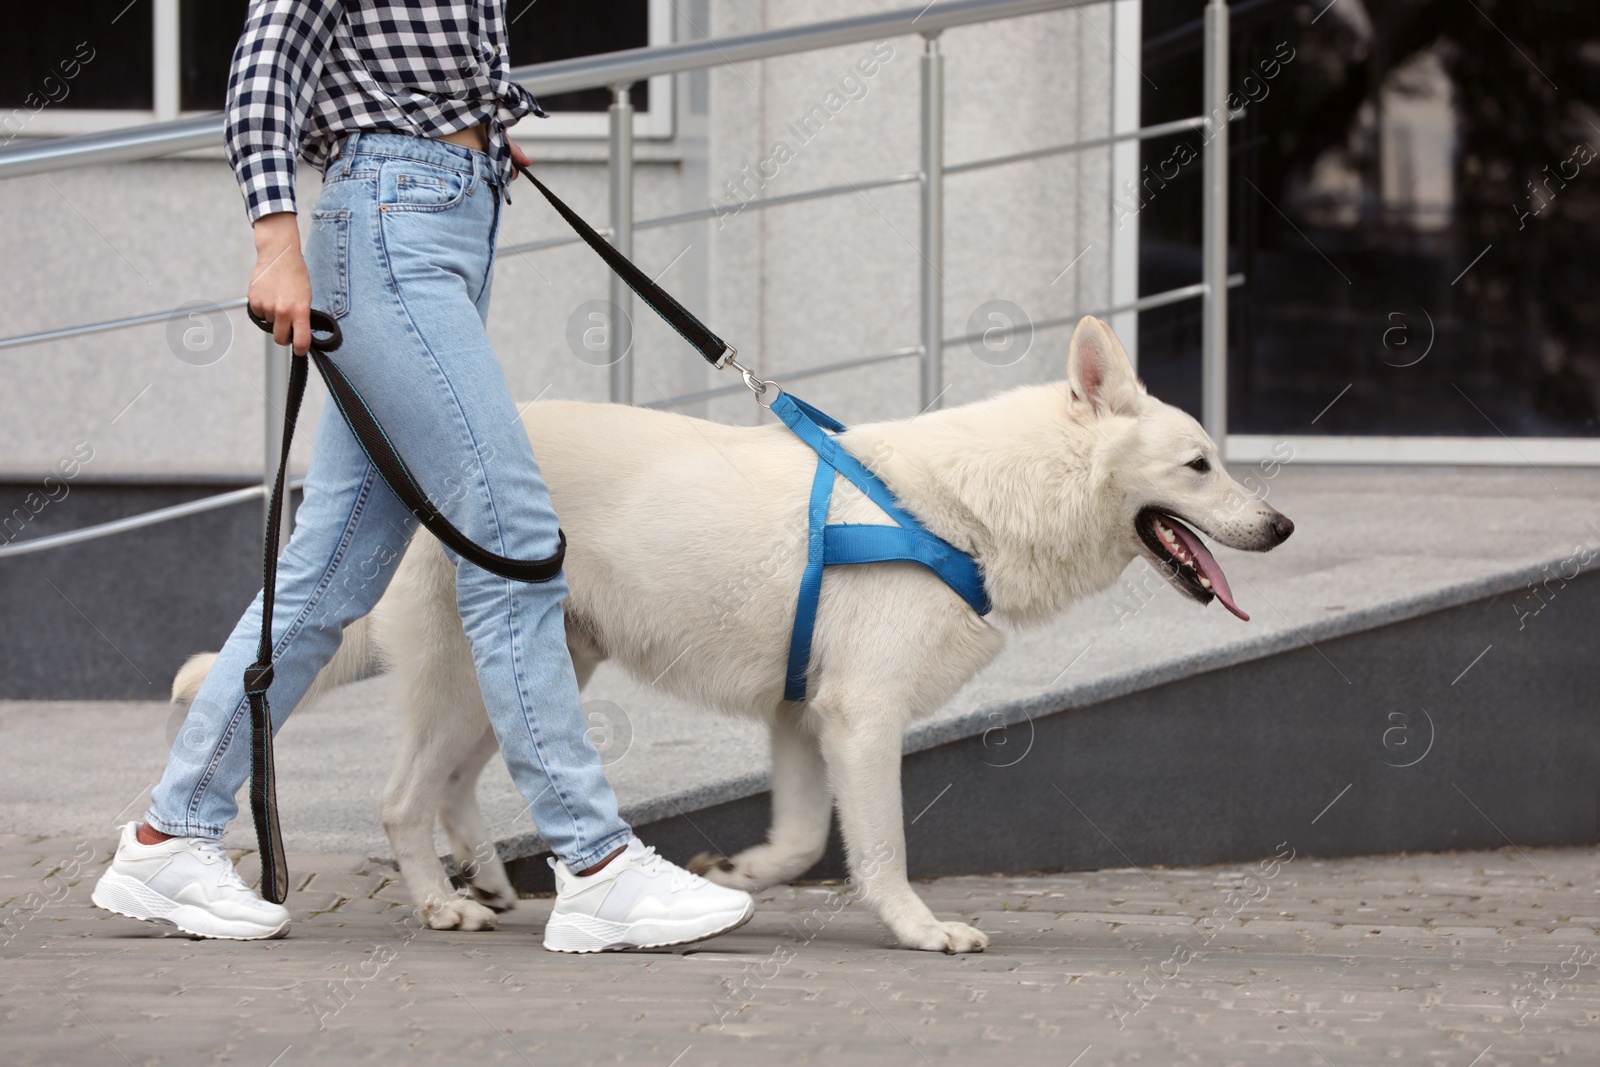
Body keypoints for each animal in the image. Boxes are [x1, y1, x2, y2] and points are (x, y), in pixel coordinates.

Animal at [175, 315, 1292, 953]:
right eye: (1198, 465)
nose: (1281, 526)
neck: (961, 503)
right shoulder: (861, 718)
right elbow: (881, 848)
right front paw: (920, 928)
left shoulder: (803, 720)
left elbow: (799, 841)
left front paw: (737, 877)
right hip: (472, 679)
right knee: (405, 796)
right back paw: (441, 904)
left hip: (535, 667)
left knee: (454, 784)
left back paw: (488, 879)